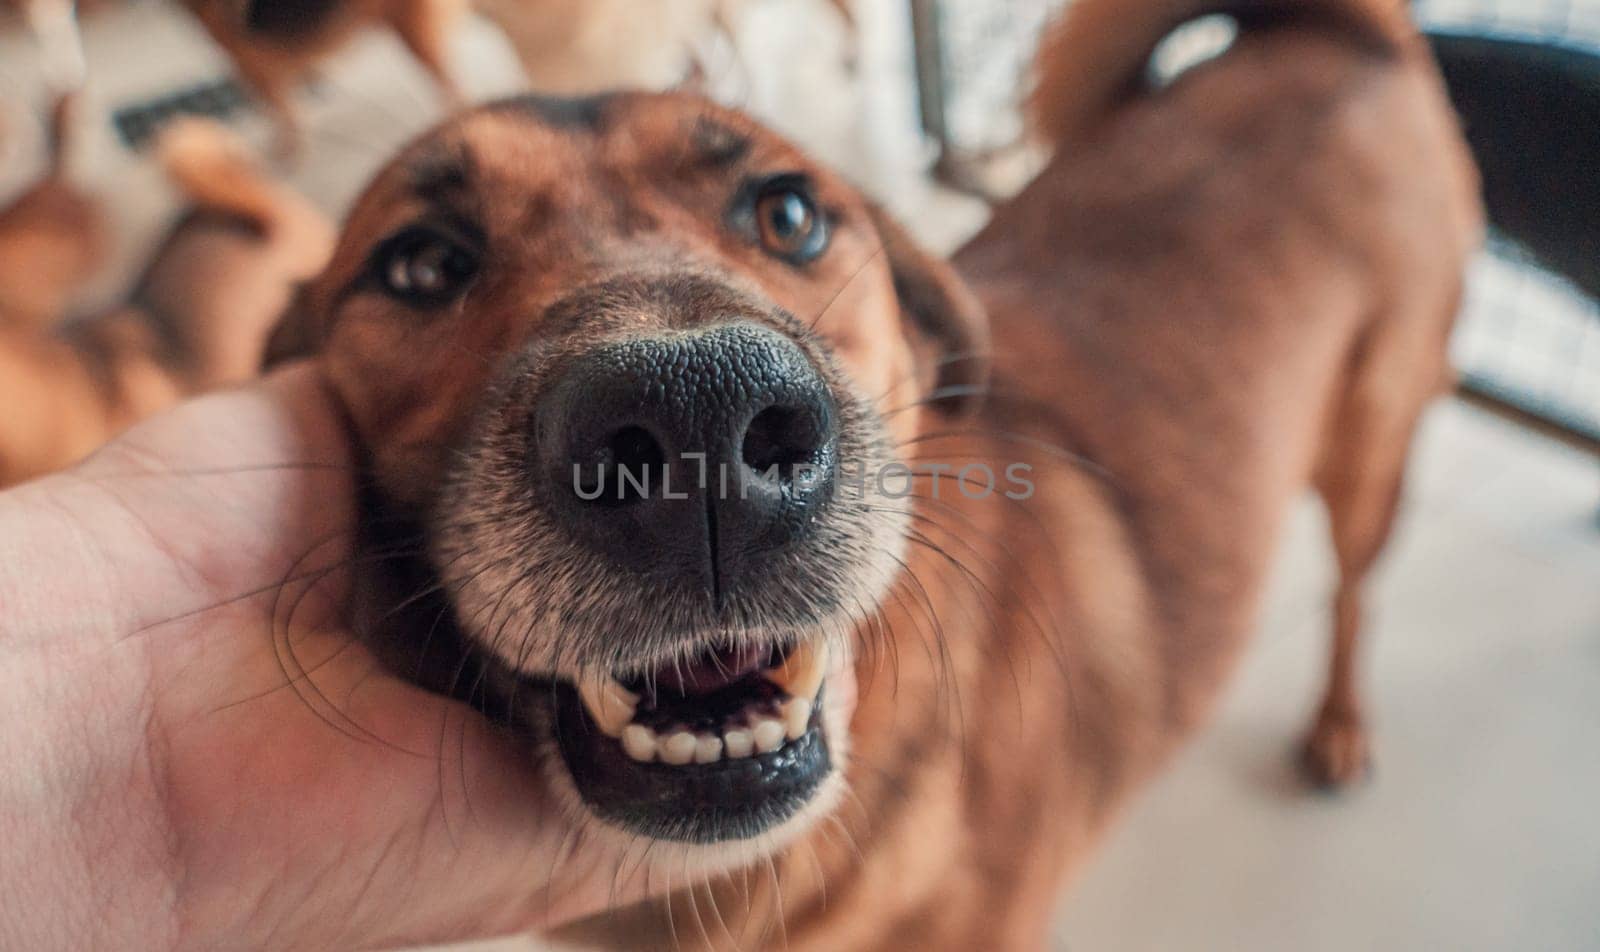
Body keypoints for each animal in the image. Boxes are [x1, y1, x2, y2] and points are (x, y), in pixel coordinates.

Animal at [268, 0, 1478, 947]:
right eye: (422, 265)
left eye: (789, 213)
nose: (699, 415)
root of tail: (1345, 38)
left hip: (1372, 446)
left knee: (1357, 591)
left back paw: (1338, 726)